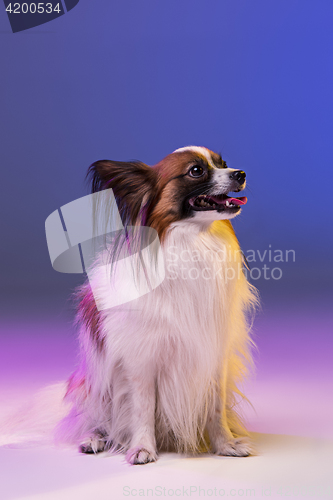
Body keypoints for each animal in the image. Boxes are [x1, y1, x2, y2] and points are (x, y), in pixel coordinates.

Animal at [55, 146, 256, 464]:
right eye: (196, 171)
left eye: (223, 163)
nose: (241, 173)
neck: (192, 242)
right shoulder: (141, 360)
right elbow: (143, 408)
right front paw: (142, 448)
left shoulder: (214, 353)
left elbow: (216, 406)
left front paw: (225, 444)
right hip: (98, 386)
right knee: (96, 418)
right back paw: (94, 438)